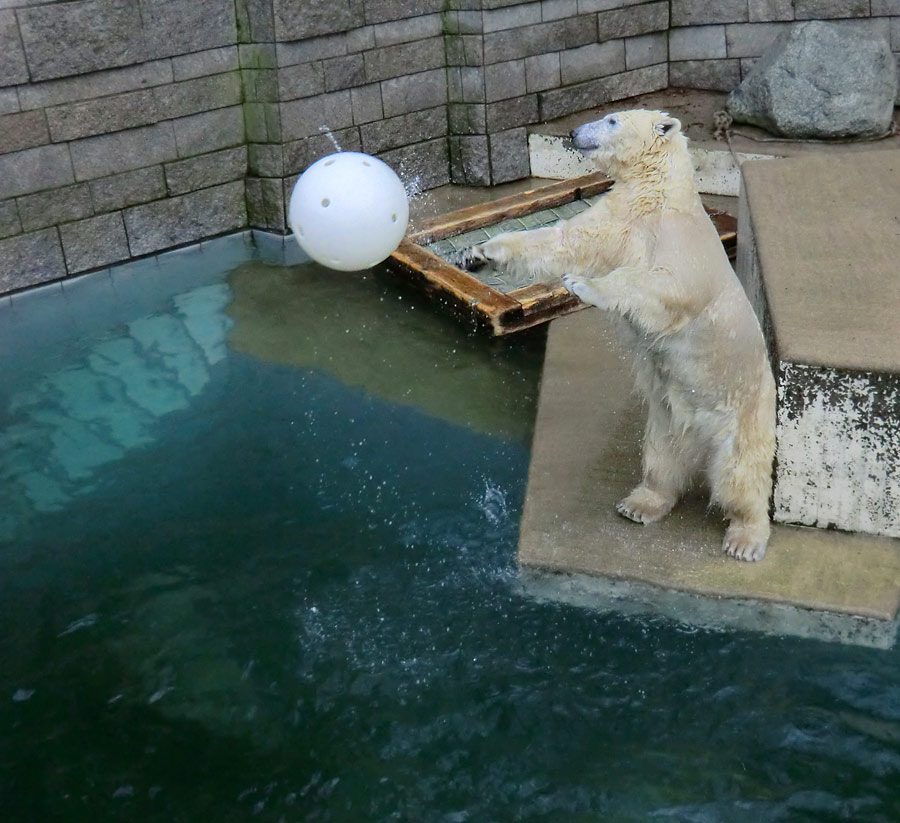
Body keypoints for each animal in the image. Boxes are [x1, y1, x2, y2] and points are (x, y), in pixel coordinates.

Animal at [464, 108, 772, 560]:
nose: (573, 131)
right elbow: (564, 238)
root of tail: (701, 438)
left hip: (743, 415)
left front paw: (582, 284)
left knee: (740, 473)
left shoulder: (677, 245)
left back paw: (745, 539)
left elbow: (662, 284)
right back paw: (639, 504)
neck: (657, 192)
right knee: (662, 460)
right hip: (668, 419)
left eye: (611, 120)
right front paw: (480, 253)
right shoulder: (618, 217)